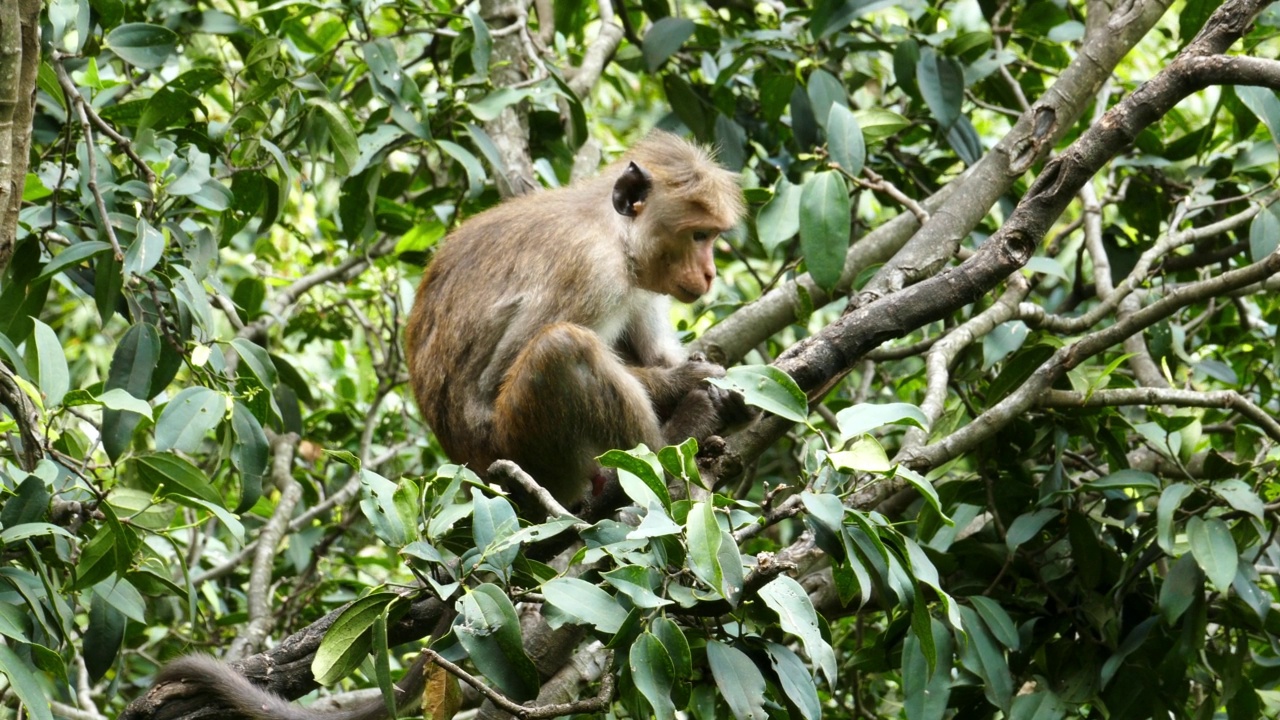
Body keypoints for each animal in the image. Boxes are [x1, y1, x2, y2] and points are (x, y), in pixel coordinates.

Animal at [404, 128, 747, 507]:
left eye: (713, 236)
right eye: (698, 235)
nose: (710, 274)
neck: (614, 234)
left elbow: (657, 353)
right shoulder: (590, 271)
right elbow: (494, 383)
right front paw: (688, 380)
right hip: (523, 456)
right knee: (562, 348)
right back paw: (670, 443)